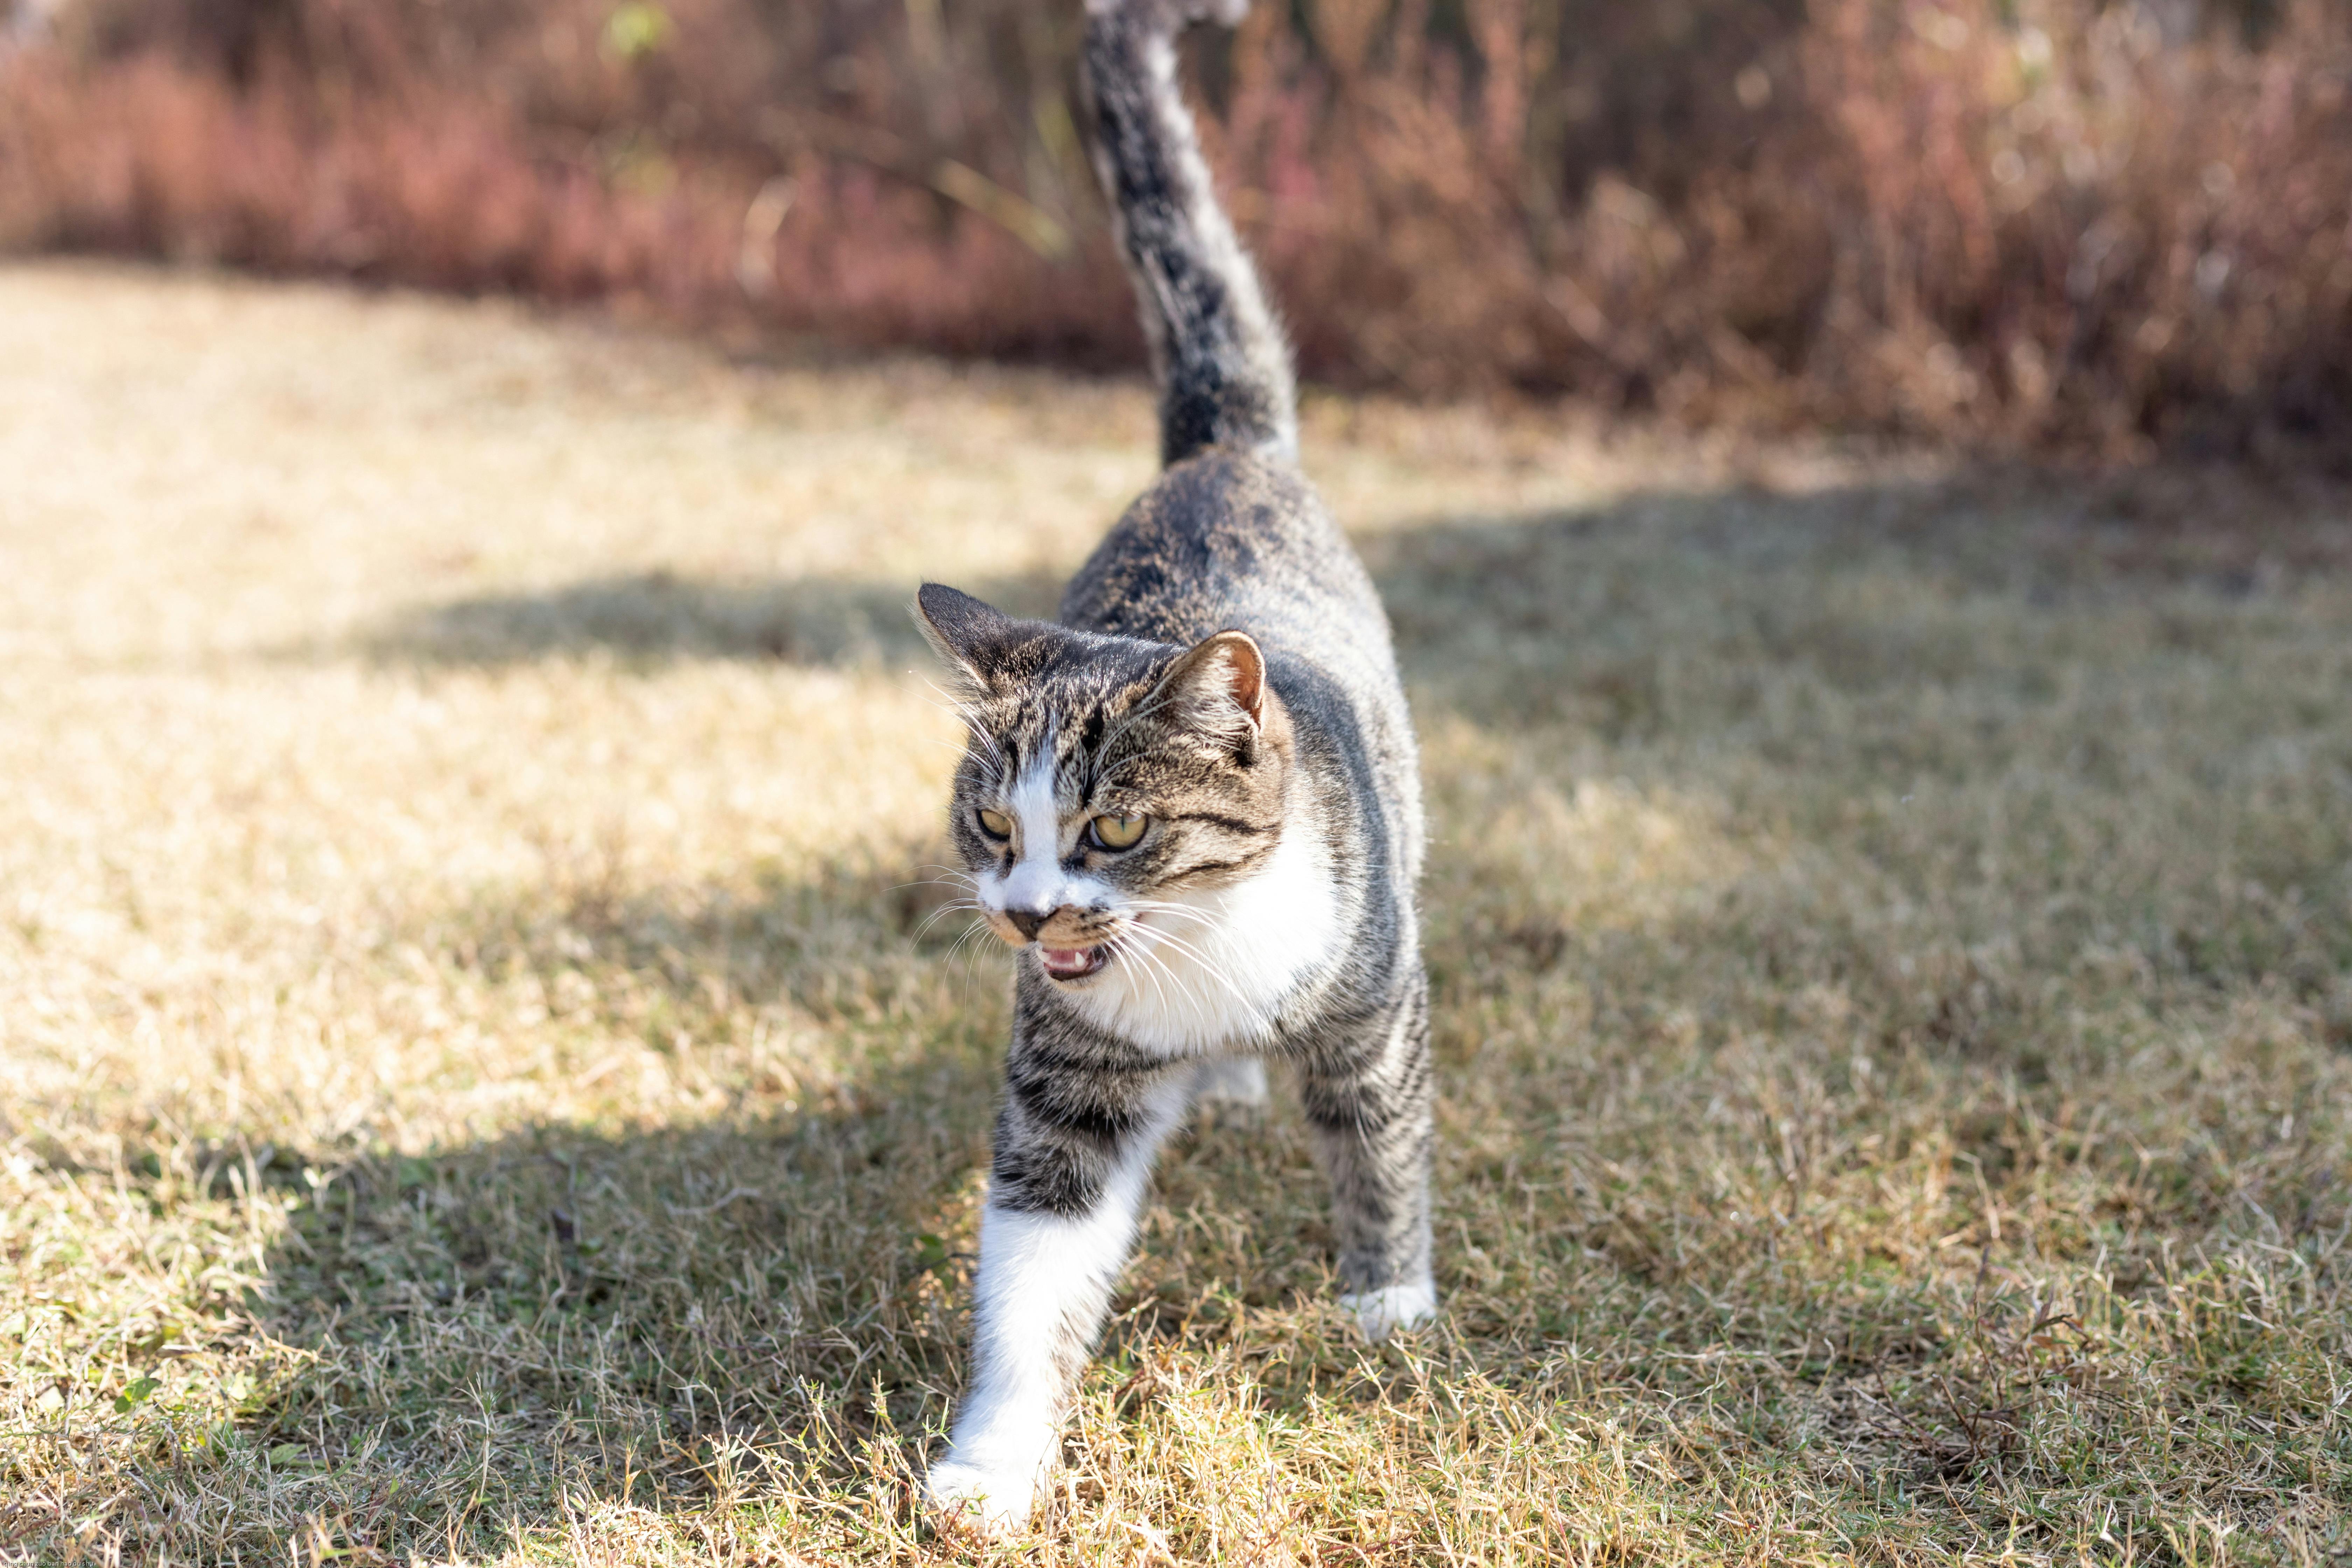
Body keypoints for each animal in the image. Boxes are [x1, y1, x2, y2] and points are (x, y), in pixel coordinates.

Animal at [912, 0, 1430, 1533]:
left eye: (1118, 830)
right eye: (991, 825)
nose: (1030, 915)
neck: (1200, 953)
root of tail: (1221, 449)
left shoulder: (1375, 989)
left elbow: (1380, 1136)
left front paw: (1391, 1302)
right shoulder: (1068, 1078)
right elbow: (1035, 1262)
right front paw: (990, 1465)